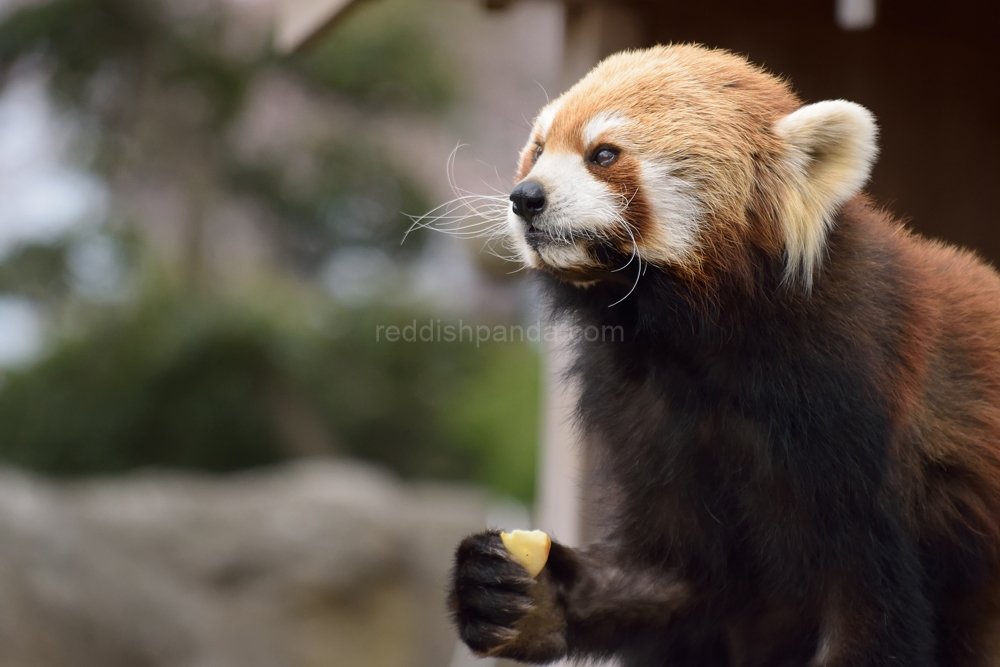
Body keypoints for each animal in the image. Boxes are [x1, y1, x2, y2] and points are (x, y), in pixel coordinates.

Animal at [448, 44, 1000, 664]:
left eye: (604, 154)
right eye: (539, 150)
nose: (526, 197)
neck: (703, 342)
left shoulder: (864, 428)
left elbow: (874, 612)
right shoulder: (648, 413)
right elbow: (677, 575)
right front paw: (525, 598)